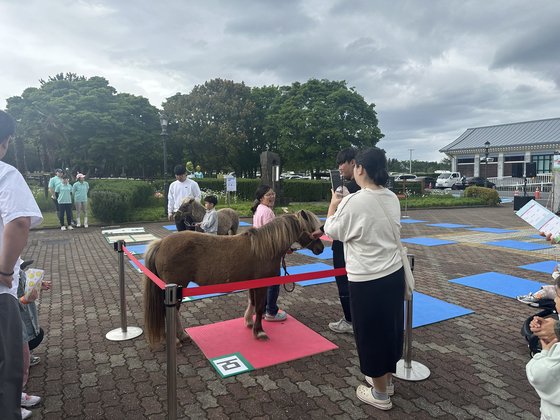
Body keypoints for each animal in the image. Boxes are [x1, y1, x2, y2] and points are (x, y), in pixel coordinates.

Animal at [143, 210, 324, 348]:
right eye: (311, 229)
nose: (320, 248)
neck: (265, 247)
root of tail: (161, 243)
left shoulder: (254, 284)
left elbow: (252, 302)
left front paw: (249, 323)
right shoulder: (262, 285)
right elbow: (259, 307)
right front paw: (259, 331)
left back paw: (182, 336)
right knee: (170, 312)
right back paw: (175, 339)